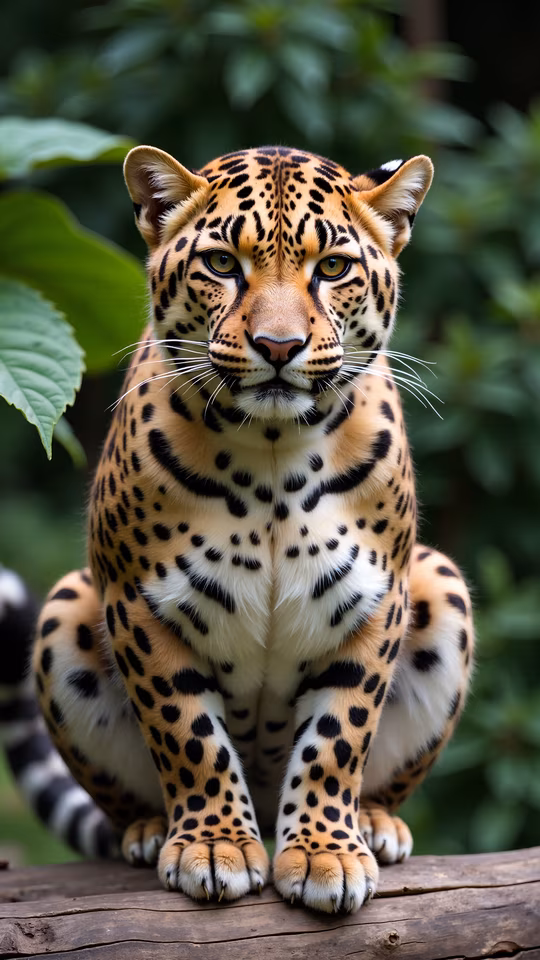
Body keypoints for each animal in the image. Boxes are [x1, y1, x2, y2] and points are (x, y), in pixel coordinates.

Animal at [0, 144, 474, 914]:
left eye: (332, 268)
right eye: (223, 264)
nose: (278, 346)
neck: (274, 456)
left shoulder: (380, 599)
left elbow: (338, 737)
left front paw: (324, 852)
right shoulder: (137, 602)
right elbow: (189, 734)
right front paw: (215, 846)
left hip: (442, 580)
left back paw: (376, 825)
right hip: (66, 607)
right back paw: (147, 831)